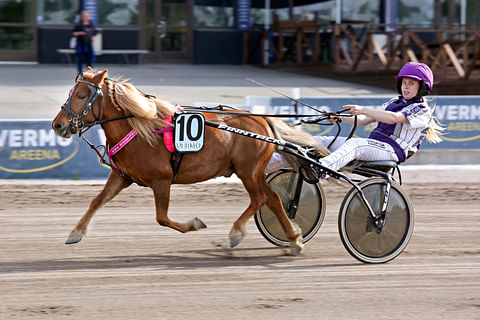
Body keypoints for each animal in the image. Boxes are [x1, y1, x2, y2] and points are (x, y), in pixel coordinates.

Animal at [53, 67, 330, 255]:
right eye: (70, 93)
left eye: (81, 95)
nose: (58, 125)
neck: (140, 127)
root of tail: (262, 120)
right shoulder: (122, 177)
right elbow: (97, 201)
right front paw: (75, 233)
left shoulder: (162, 181)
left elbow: (162, 218)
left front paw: (194, 224)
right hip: (251, 171)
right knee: (271, 198)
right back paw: (293, 238)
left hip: (248, 171)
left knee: (262, 198)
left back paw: (240, 233)